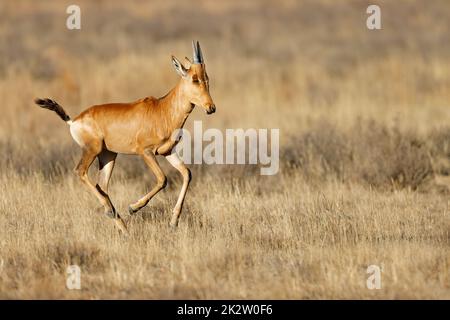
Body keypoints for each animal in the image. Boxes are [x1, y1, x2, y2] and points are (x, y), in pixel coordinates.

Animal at [35, 41, 214, 234]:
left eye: (207, 78)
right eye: (194, 79)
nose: (211, 108)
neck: (162, 109)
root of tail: (74, 120)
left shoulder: (168, 152)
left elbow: (187, 174)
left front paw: (173, 222)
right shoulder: (145, 152)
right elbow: (162, 179)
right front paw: (133, 207)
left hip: (108, 155)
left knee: (101, 186)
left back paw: (123, 227)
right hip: (92, 150)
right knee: (80, 172)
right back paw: (111, 211)